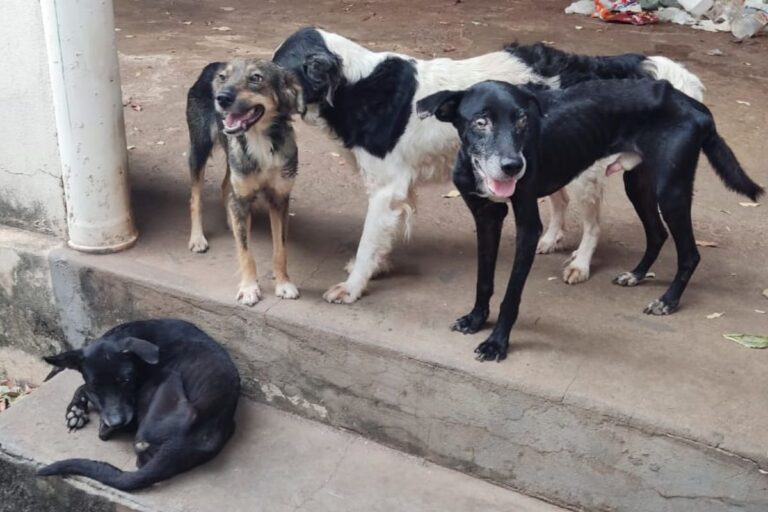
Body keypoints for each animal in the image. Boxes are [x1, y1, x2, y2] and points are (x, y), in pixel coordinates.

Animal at [36, 318, 238, 490]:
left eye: (125, 380)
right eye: (96, 385)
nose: (116, 421)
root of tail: (181, 444)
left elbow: (82, 387)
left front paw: (78, 410)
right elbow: (84, 387)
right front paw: (76, 411)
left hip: (168, 376)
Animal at [186, 58, 304, 306]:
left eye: (256, 78)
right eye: (224, 77)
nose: (221, 98)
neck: (260, 140)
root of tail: (212, 64)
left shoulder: (280, 199)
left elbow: (280, 249)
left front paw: (283, 283)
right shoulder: (241, 197)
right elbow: (246, 253)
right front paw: (249, 288)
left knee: (225, 187)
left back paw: (232, 223)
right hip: (198, 148)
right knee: (195, 198)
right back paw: (198, 238)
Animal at [272, 29, 704, 304]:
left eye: (277, 74)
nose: (236, 98)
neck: (355, 84)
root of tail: (587, 65)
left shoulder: (386, 189)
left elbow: (367, 243)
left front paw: (353, 286)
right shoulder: (396, 191)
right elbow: (382, 239)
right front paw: (377, 268)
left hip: (584, 175)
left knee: (593, 224)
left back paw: (580, 263)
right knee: (560, 202)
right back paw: (551, 239)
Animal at [416, 78, 764, 362]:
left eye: (523, 120)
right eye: (481, 121)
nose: (513, 166)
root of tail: (695, 105)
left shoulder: (528, 226)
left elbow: (511, 294)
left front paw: (497, 343)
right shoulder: (486, 217)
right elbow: (484, 279)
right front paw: (476, 319)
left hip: (672, 191)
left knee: (690, 253)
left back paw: (668, 301)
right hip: (638, 183)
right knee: (657, 233)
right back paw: (636, 275)